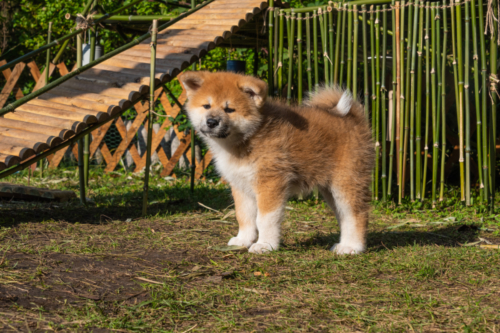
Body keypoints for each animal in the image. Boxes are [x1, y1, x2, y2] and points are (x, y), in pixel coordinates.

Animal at [182, 71, 374, 253]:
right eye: (206, 106)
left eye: (229, 109)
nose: (211, 121)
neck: (246, 139)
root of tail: (354, 119)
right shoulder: (241, 185)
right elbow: (243, 216)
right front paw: (243, 240)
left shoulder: (271, 182)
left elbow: (264, 219)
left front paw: (265, 245)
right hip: (331, 190)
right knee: (344, 217)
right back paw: (344, 244)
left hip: (346, 183)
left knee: (357, 214)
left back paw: (353, 247)